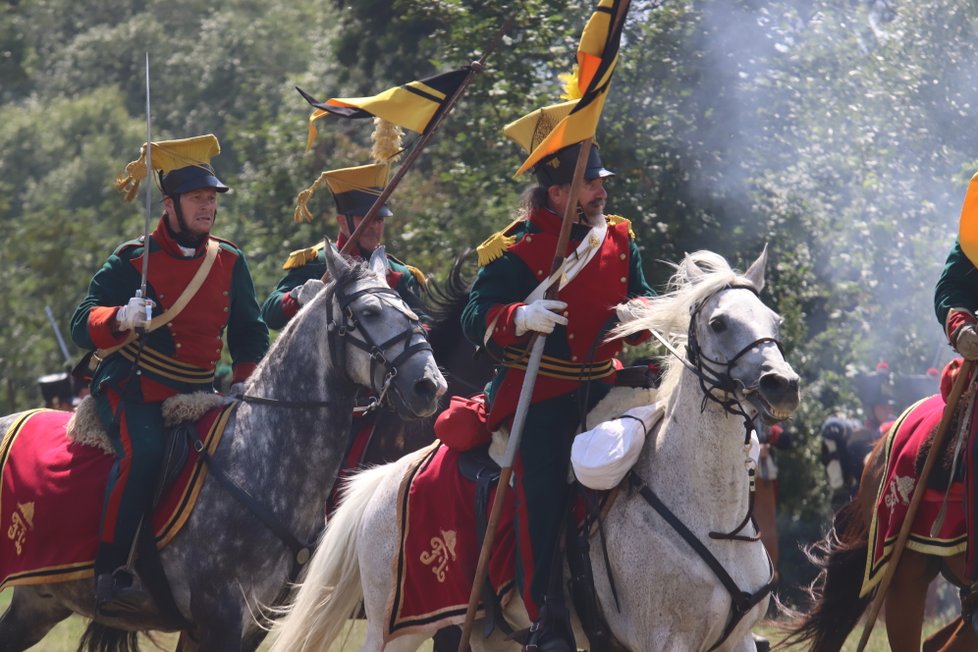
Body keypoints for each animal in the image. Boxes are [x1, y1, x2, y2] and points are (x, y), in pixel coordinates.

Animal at [0, 244, 446, 652]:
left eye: (410, 311)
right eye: (369, 312)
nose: (430, 386)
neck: (258, 458)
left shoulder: (246, 627)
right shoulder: (221, 620)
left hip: (38, 604)